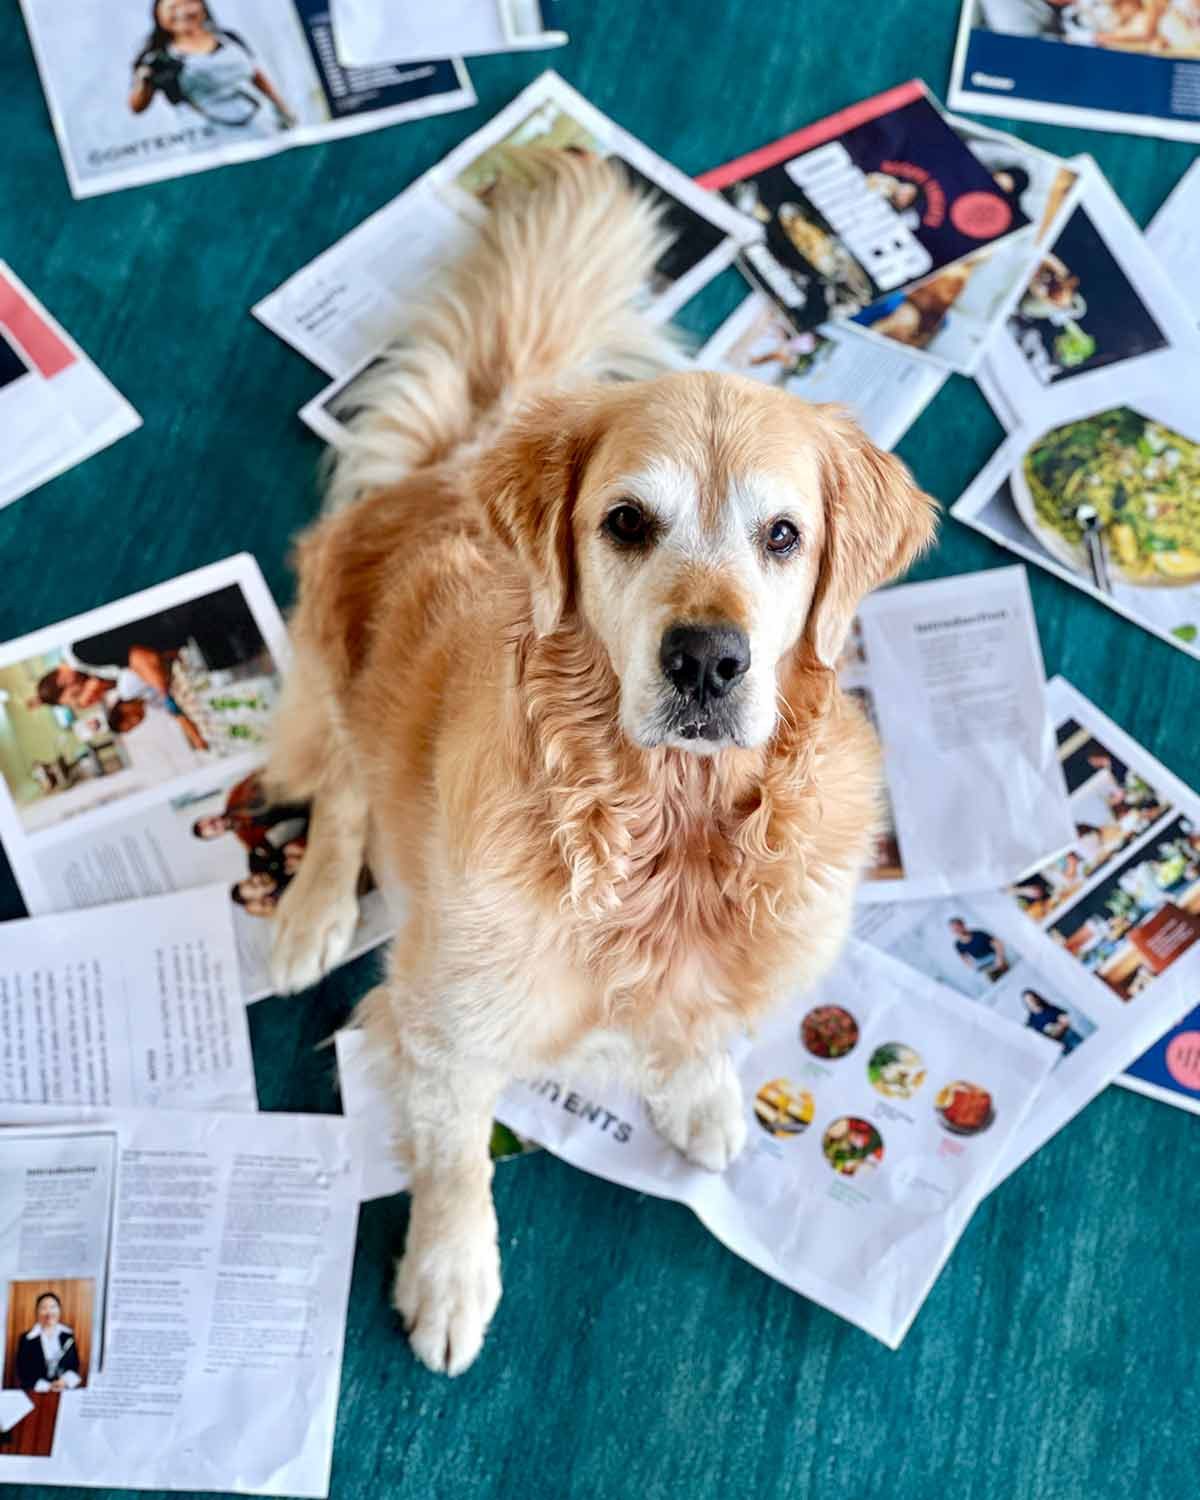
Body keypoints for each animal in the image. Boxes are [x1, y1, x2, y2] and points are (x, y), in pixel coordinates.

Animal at [265, 150, 937, 1375]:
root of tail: (452, 461)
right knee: (339, 788)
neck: (668, 830)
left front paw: (700, 1092)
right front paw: (449, 1278)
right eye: (627, 523)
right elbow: (456, 1162)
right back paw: (312, 913)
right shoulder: (446, 1021)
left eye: (783, 536)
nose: (708, 659)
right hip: (335, 663)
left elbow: (699, 1025)